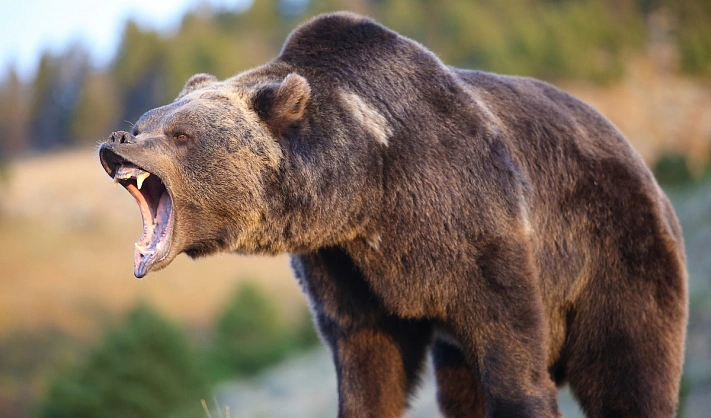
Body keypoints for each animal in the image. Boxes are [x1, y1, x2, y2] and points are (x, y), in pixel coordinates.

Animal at [97, 11, 688, 418]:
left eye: (180, 133)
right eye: (147, 120)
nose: (117, 140)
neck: (368, 191)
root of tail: (638, 158)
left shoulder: (477, 227)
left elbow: (513, 358)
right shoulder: (345, 269)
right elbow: (369, 366)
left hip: (615, 253)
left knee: (630, 369)